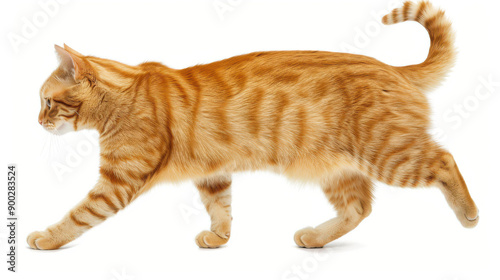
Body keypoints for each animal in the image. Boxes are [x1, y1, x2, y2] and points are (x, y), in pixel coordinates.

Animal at [30, 0, 476, 249]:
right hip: (339, 168)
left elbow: (79, 215)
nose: (36, 121)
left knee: (446, 160)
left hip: (390, 153)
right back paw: (315, 238)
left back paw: (469, 213)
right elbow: (221, 207)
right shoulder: (213, 173)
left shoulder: (118, 182)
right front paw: (219, 238)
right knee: (359, 207)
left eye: (48, 102)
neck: (126, 91)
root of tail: (395, 68)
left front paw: (46, 238)